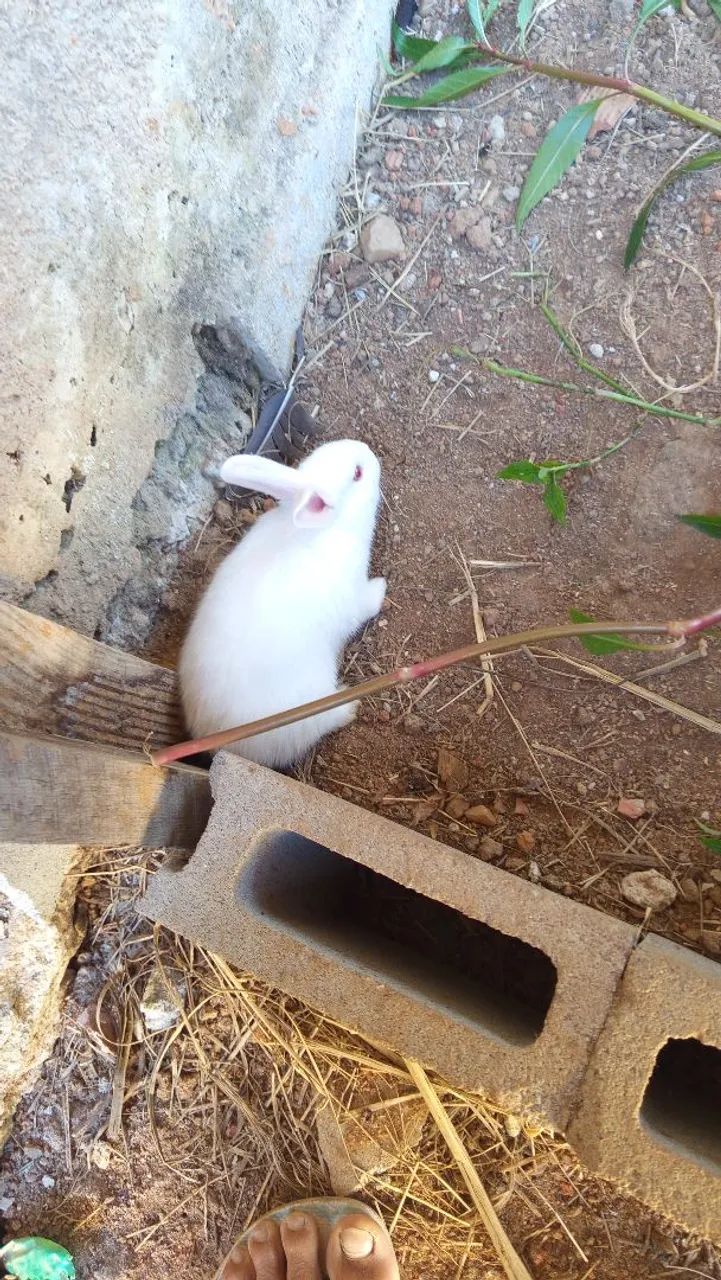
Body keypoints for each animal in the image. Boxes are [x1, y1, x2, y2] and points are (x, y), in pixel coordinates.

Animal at [179, 438, 386, 769]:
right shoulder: (352, 599)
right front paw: (382, 588)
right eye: (357, 473)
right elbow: (364, 605)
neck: (320, 528)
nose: (368, 451)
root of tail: (222, 745)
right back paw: (350, 703)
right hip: (308, 707)